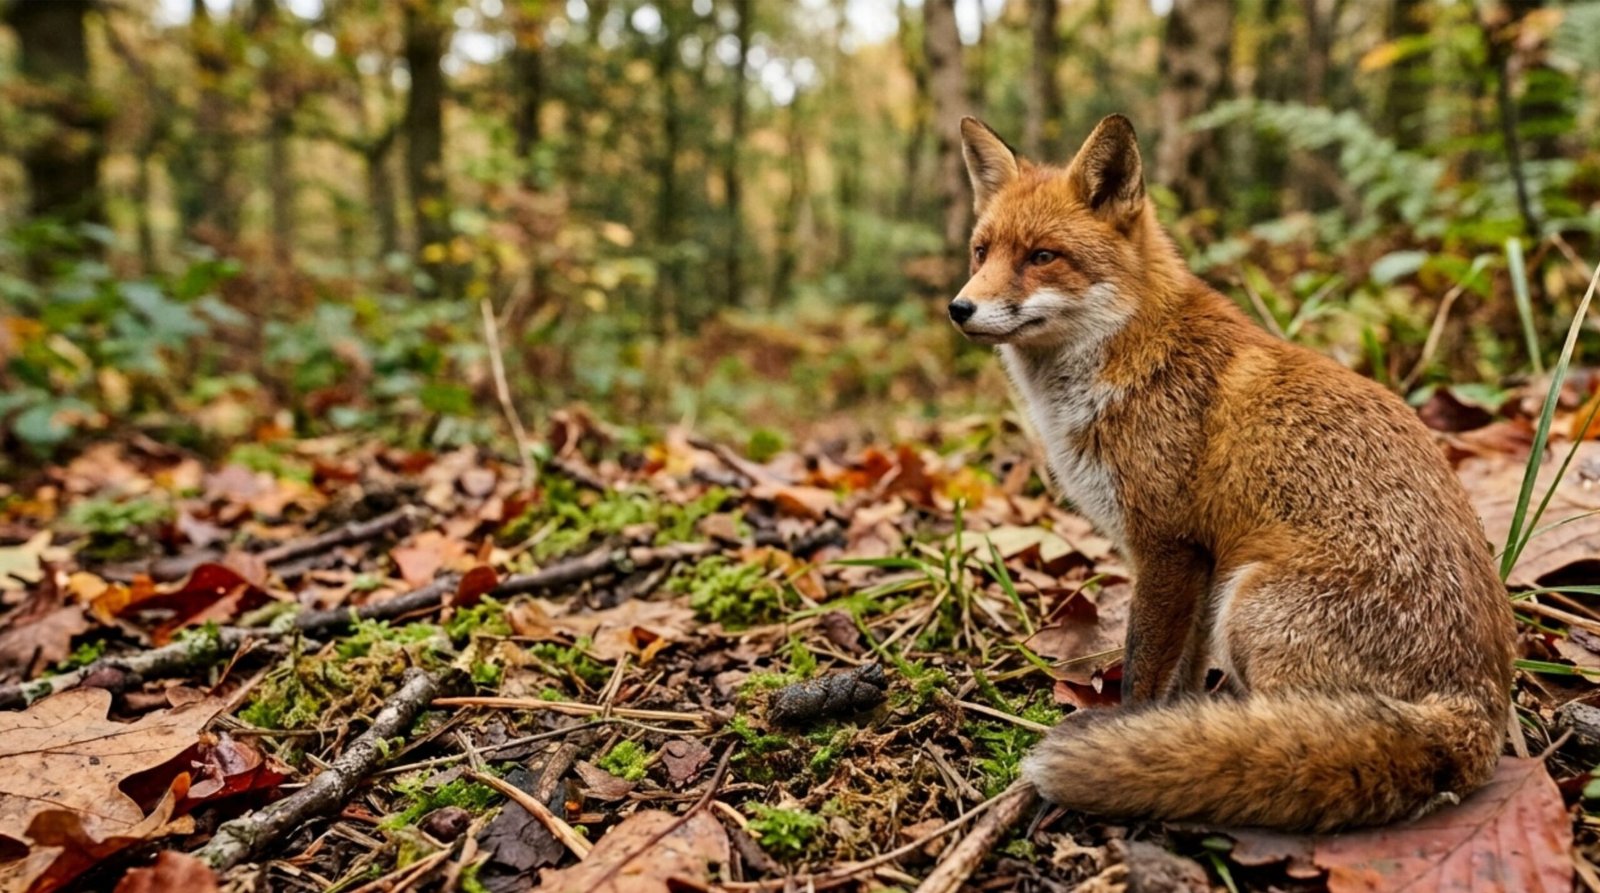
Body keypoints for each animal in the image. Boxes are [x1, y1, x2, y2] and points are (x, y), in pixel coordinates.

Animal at [950, 114, 1516, 831]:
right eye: (981, 252)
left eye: (1042, 256)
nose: (959, 308)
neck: (1127, 354)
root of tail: (1481, 706)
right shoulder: (1199, 560)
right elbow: (1183, 673)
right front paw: (1162, 731)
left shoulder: (1167, 546)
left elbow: (1144, 667)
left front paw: (1129, 731)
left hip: (1248, 607)